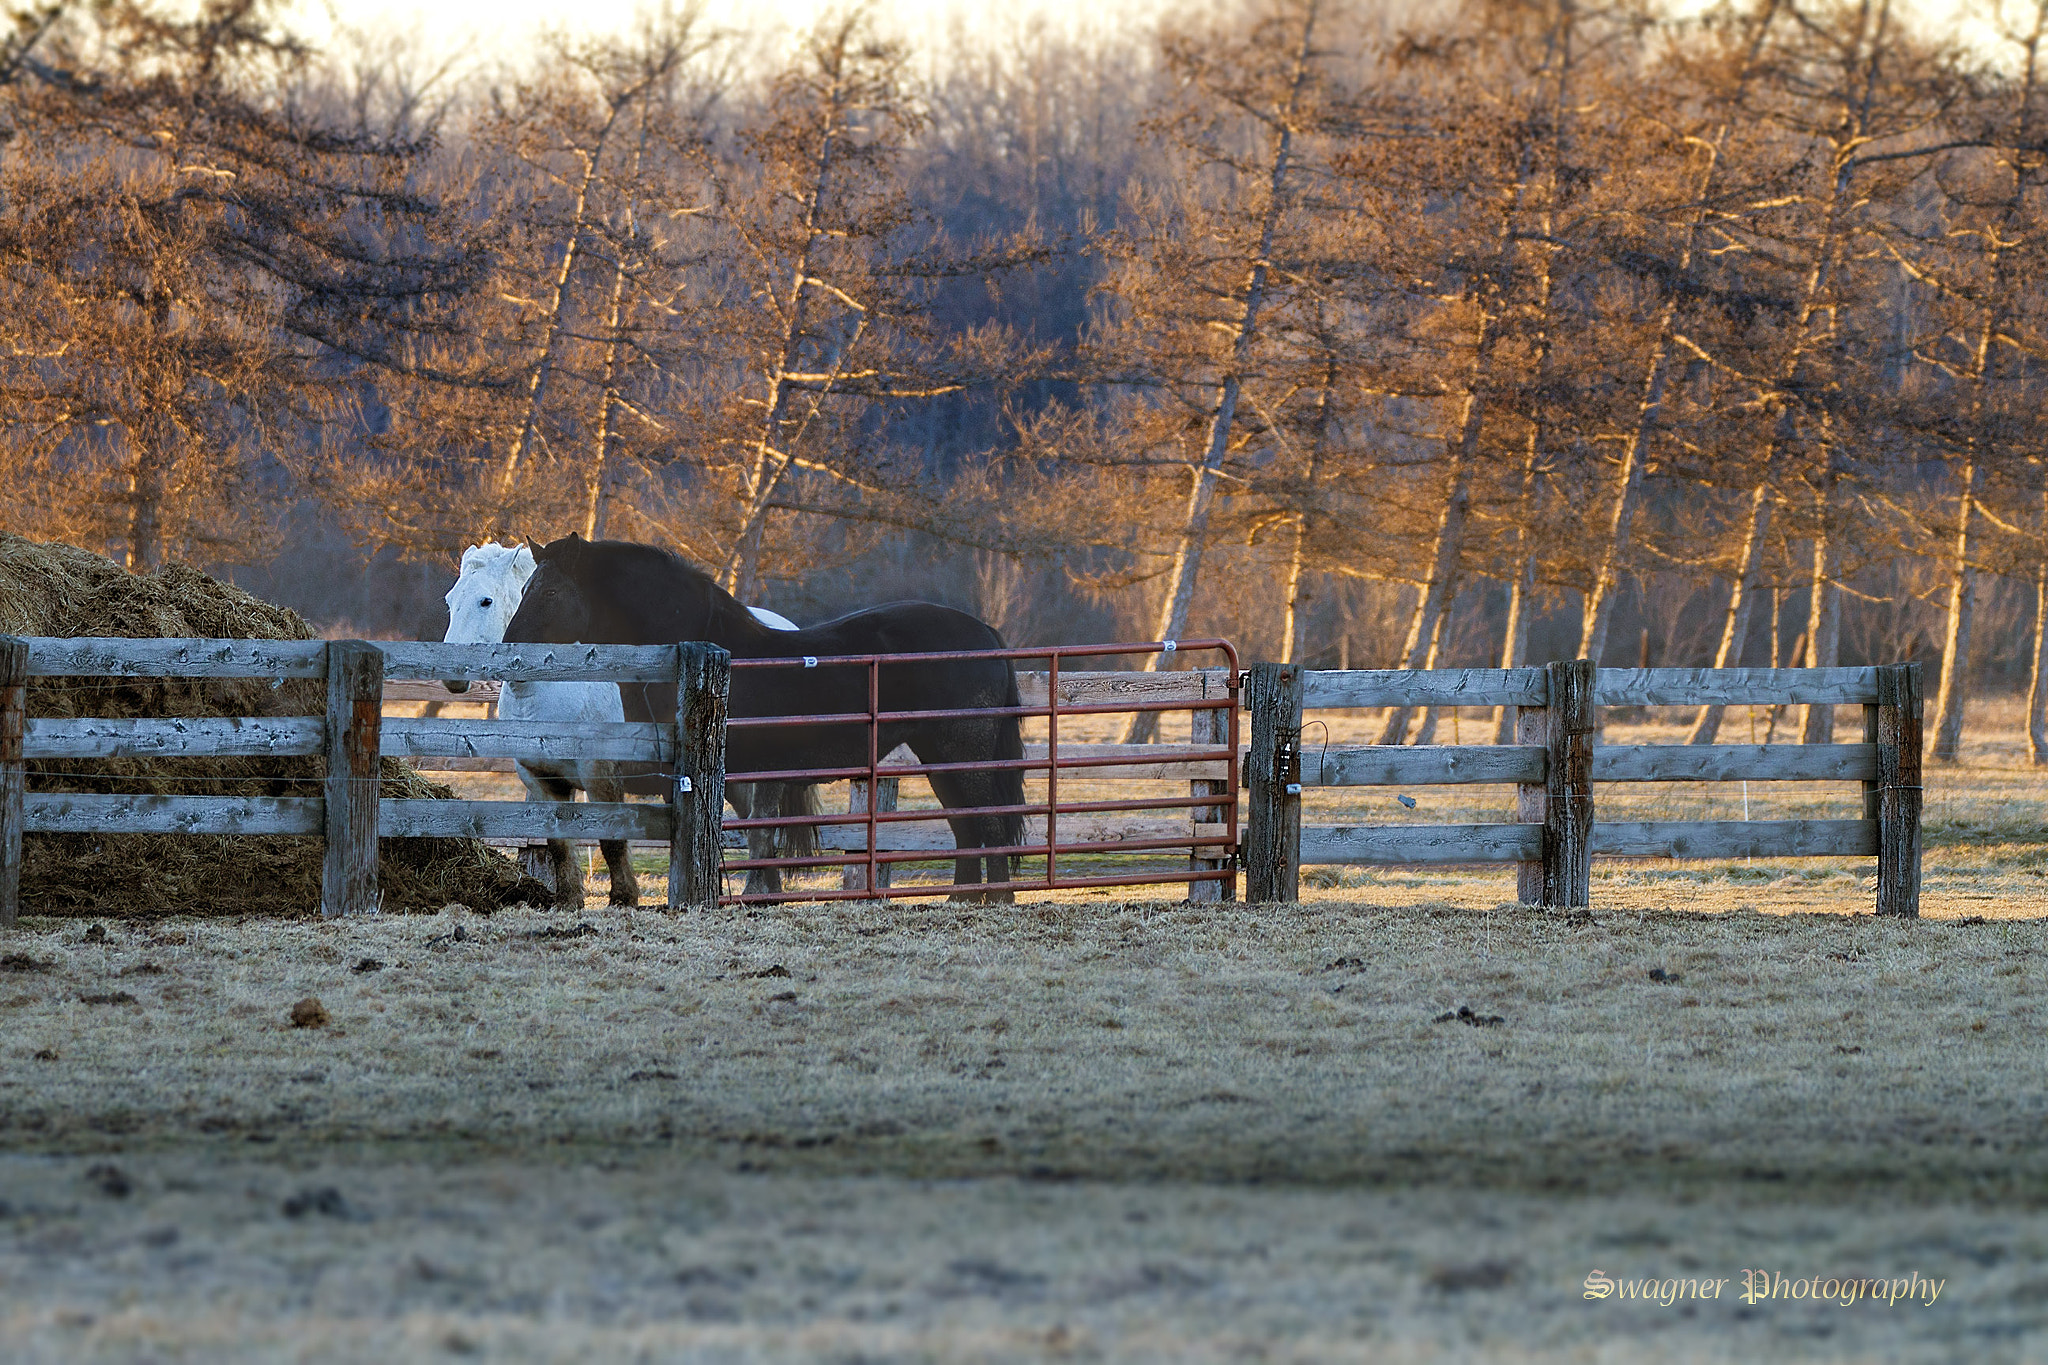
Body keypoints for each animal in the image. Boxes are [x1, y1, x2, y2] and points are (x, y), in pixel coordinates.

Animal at [441, 542, 821, 905]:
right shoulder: (541, 779)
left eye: (486, 600)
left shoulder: (601, 775)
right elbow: (558, 841)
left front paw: (623, 898)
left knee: (764, 827)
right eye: (450, 601)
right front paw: (569, 900)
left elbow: (612, 839)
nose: (453, 675)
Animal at [502, 533, 1025, 902]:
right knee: (966, 827)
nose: (509, 651)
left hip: (963, 754)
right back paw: (965, 899)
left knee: (989, 824)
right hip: (939, 757)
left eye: (551, 591)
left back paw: (997, 898)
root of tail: (985, 632)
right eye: (523, 587)